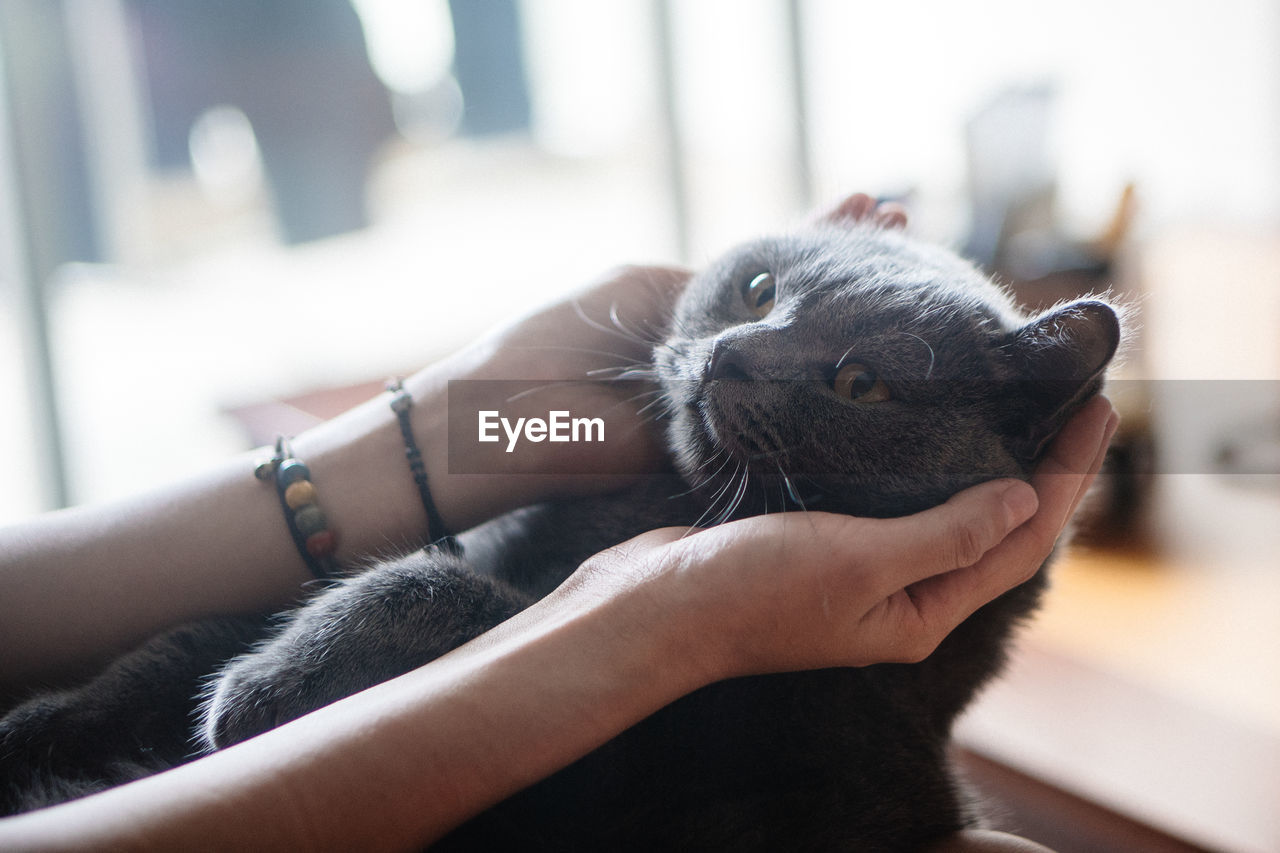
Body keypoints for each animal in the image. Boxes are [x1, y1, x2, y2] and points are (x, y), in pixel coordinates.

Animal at [0, 208, 1116, 845]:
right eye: (759, 288)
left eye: (859, 383)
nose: (731, 354)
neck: (651, 507)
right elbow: (176, 642)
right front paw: (42, 722)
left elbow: (439, 585)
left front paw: (257, 697)